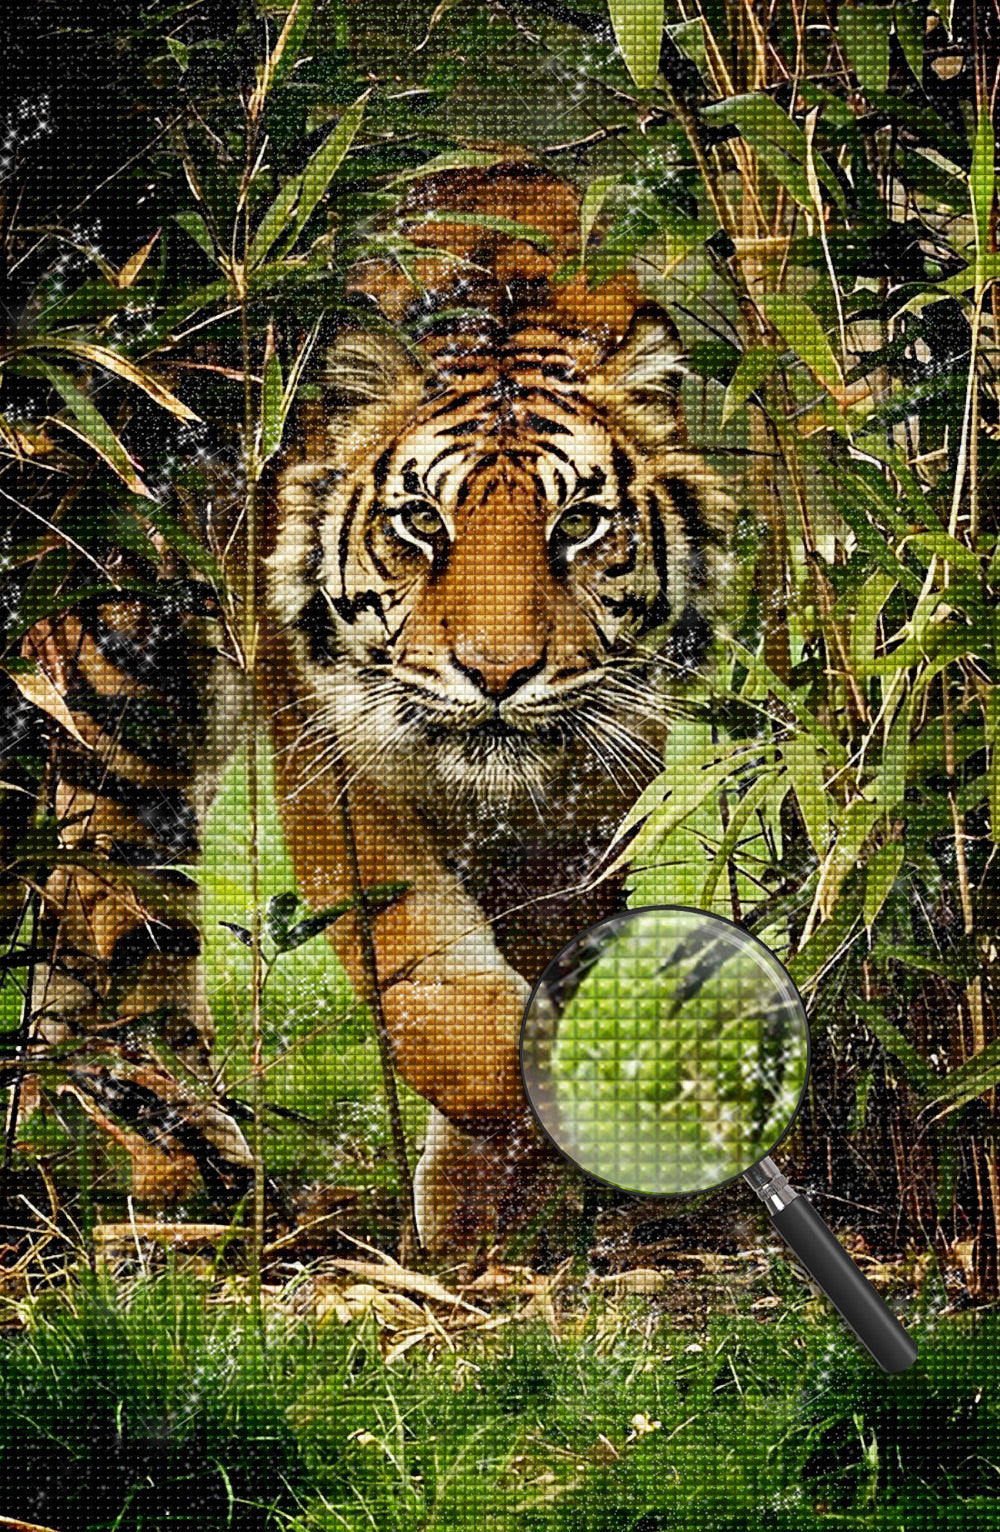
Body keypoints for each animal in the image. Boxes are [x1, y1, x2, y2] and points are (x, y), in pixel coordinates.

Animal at [11, 162, 727, 1253]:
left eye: (578, 525)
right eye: (420, 522)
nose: (496, 673)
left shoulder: (587, 800)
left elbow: (549, 948)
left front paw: (490, 1212)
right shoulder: (335, 760)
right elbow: (426, 979)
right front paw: (529, 1117)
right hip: (128, 681)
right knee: (105, 903)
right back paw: (166, 1151)